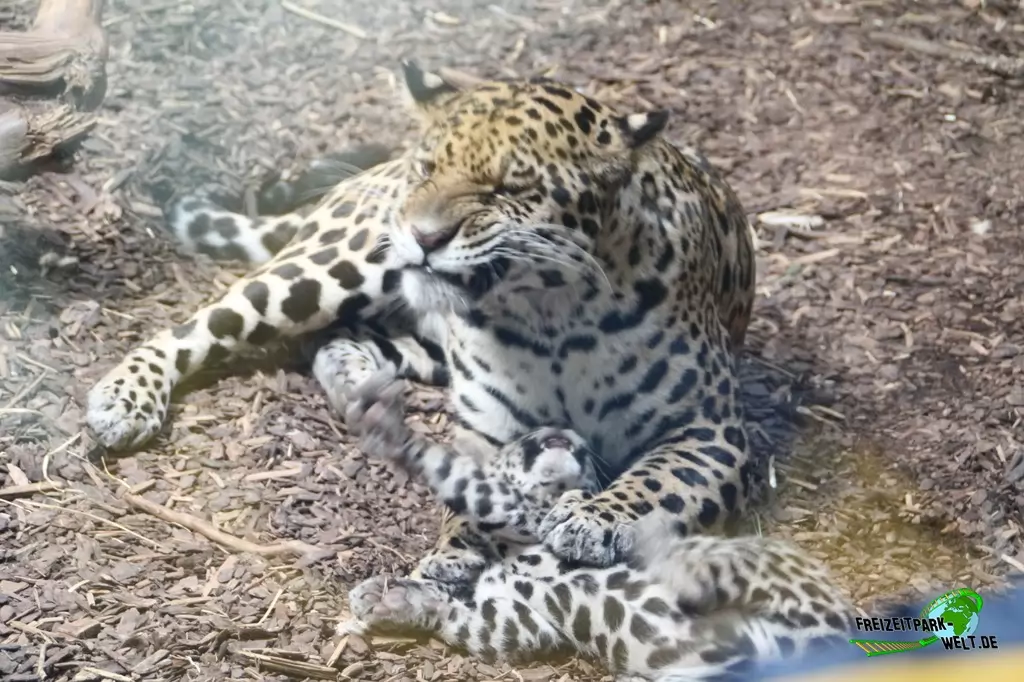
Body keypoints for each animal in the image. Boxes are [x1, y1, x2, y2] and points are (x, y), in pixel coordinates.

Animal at [84, 60, 756, 574]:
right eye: (429, 168)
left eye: (510, 189)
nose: (423, 235)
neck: (551, 319)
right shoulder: (490, 435)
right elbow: (479, 490)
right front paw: (457, 547)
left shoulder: (710, 427)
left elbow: (656, 480)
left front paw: (593, 518)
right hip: (332, 267)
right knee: (211, 319)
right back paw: (125, 396)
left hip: (420, 344)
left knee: (336, 339)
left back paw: (360, 386)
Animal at [338, 367, 857, 682]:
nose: (564, 430)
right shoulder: (524, 621)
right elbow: (466, 618)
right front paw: (391, 596)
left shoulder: (517, 511)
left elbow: (460, 483)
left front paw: (390, 430)